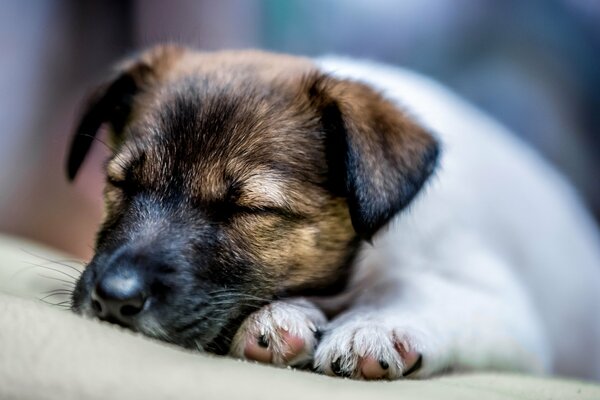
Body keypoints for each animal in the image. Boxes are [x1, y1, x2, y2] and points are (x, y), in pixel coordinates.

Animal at [67, 45, 600, 380]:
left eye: (248, 208)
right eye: (120, 182)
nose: (114, 299)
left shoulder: (503, 307)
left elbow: (419, 293)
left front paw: (374, 327)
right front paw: (281, 319)